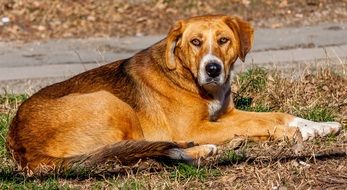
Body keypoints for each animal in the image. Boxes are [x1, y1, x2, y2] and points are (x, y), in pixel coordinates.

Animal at [5, 14, 342, 172]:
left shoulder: (227, 115)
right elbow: (266, 124)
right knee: (137, 150)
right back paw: (202, 150)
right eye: (195, 42)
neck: (189, 77)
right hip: (111, 102)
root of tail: (21, 145)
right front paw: (302, 133)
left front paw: (318, 126)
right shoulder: (195, 127)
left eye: (223, 40)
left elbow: (276, 116)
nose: (213, 69)